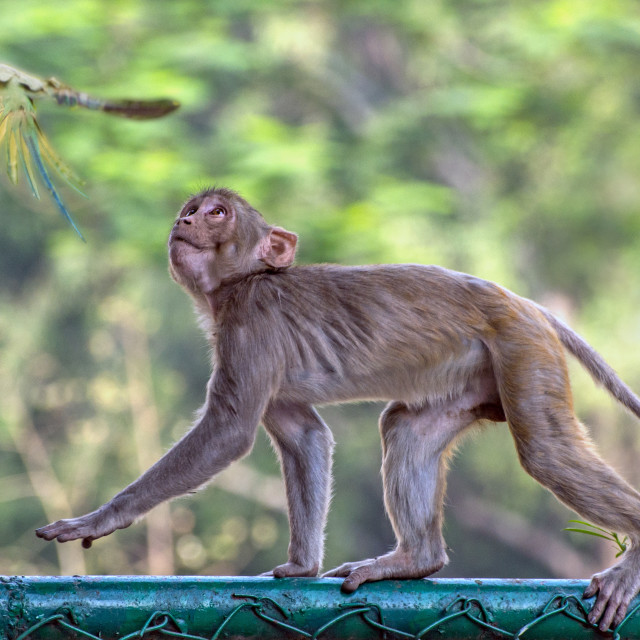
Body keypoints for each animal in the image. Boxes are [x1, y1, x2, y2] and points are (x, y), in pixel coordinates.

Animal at [36, 188, 640, 632]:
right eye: (192, 208)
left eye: (217, 213)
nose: (184, 220)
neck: (242, 283)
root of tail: (521, 301)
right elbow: (304, 436)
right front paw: (303, 566)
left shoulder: (250, 329)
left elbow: (230, 433)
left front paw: (100, 518)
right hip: (473, 376)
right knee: (405, 428)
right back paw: (415, 560)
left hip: (522, 349)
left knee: (546, 452)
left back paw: (628, 560)